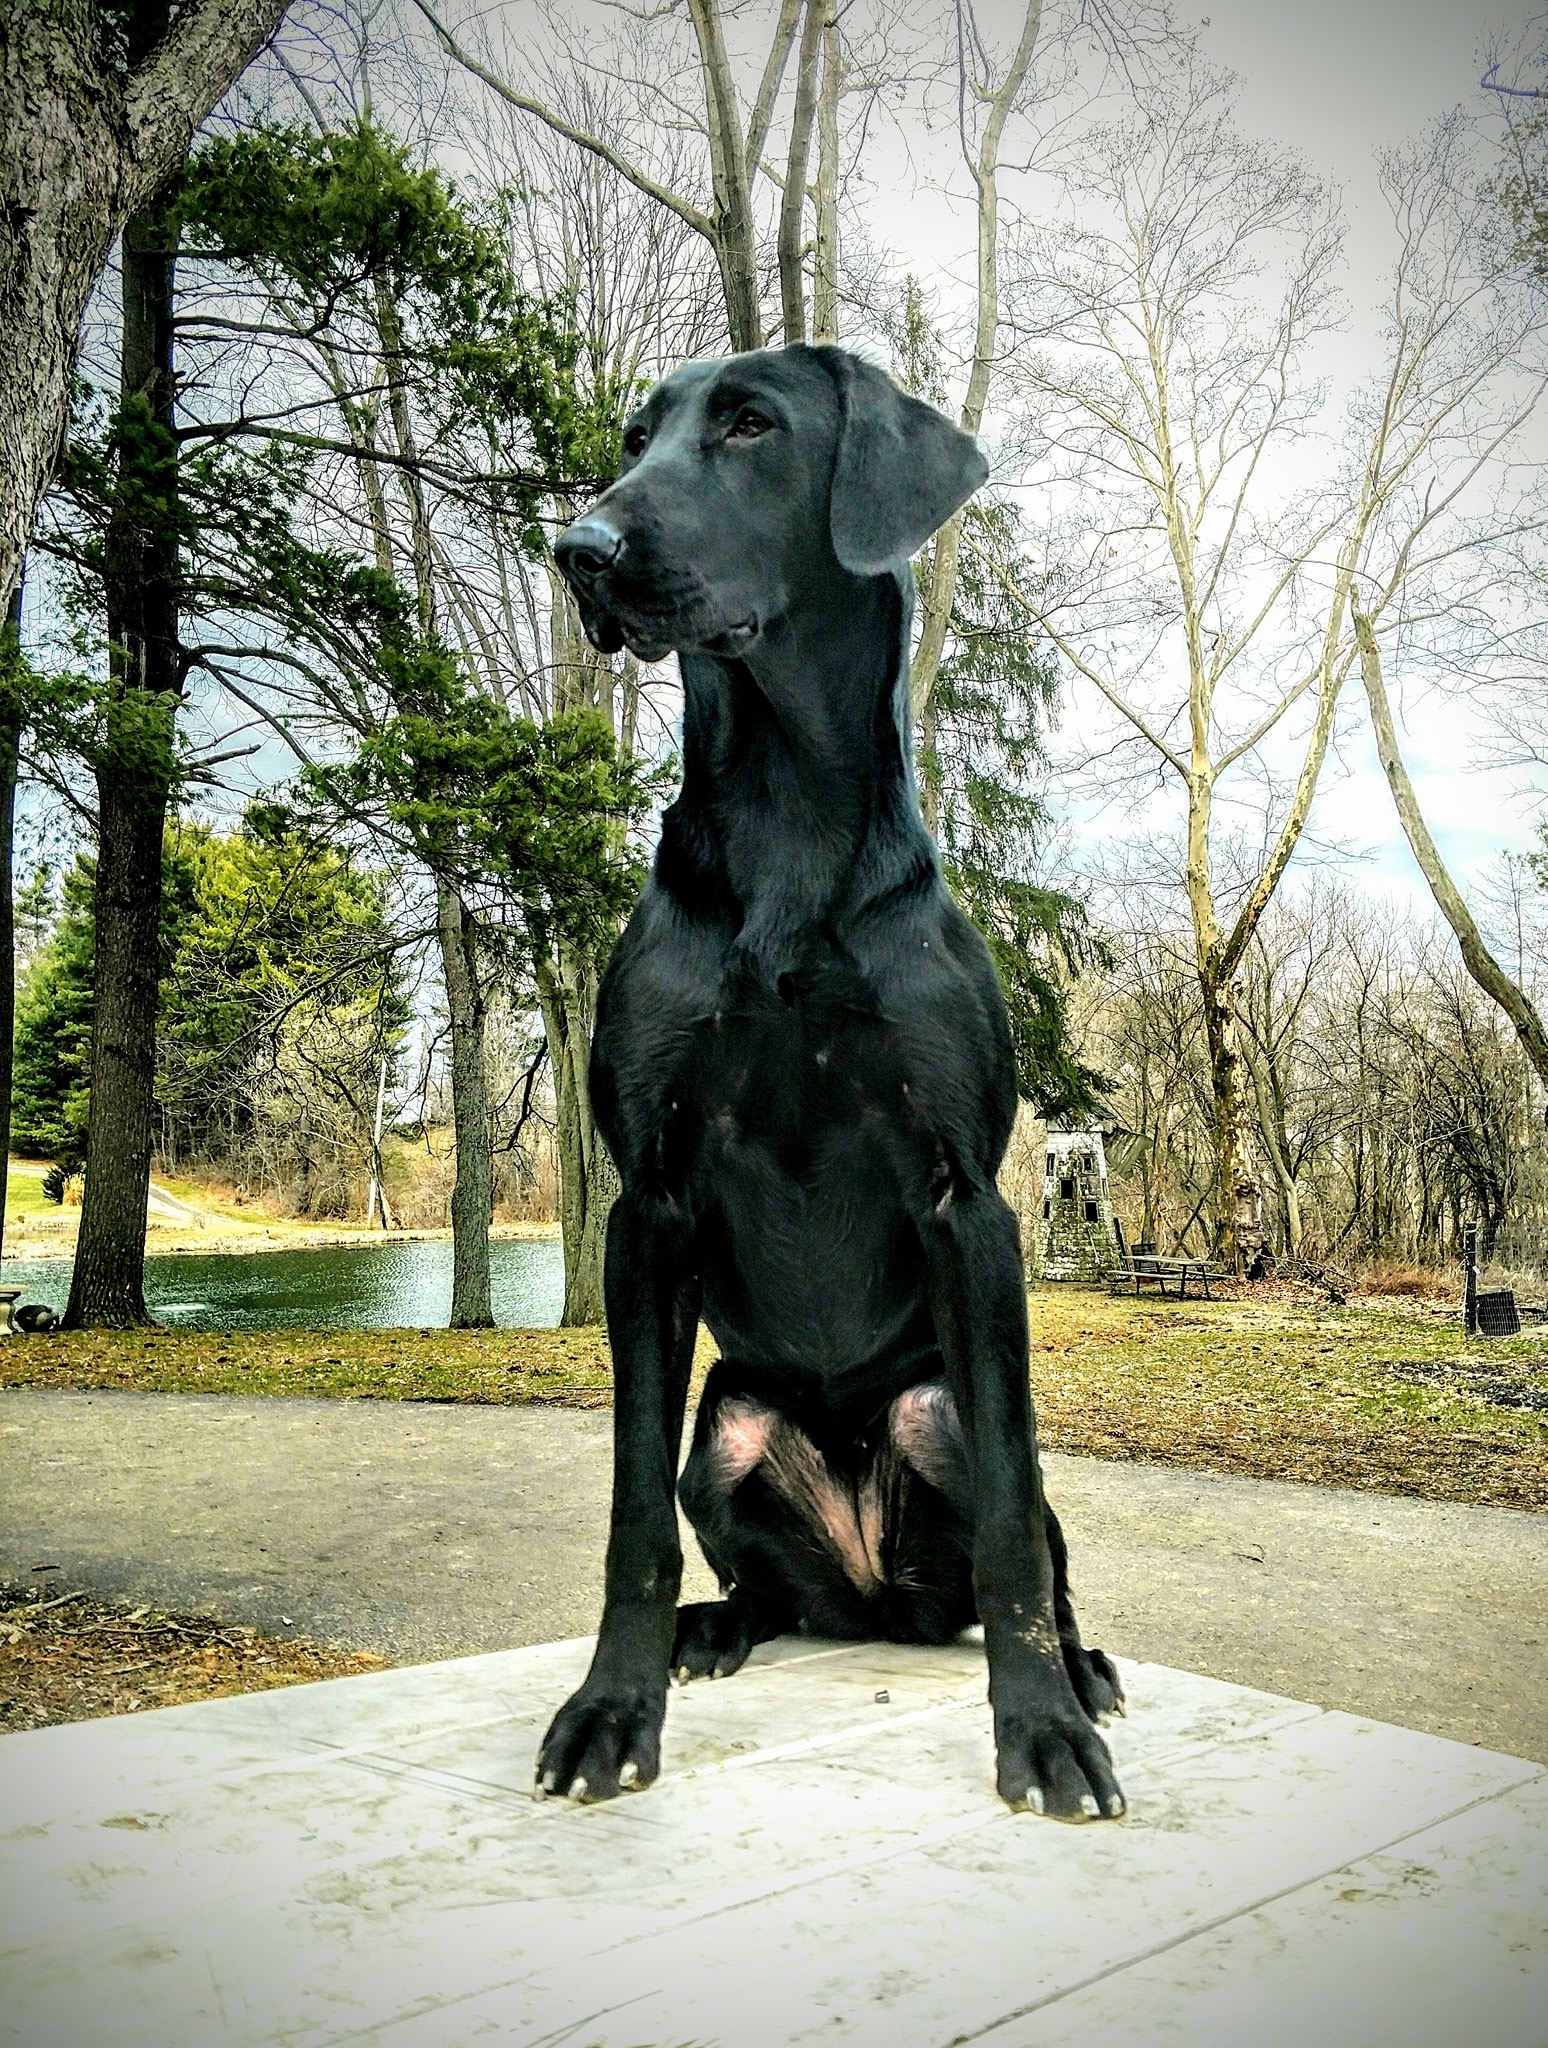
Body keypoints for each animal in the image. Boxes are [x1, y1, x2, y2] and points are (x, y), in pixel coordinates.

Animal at [544, 348, 1122, 1826]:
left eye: (751, 424)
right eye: (635, 436)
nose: (579, 549)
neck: (788, 813)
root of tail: (871, 1600)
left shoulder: (974, 1204)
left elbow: (1019, 1533)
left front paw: (1041, 1731)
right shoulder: (647, 1206)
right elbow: (628, 1513)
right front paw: (611, 1708)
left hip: (937, 1410)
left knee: (1018, 1552)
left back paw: (1082, 1667)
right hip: (730, 1430)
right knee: (764, 1582)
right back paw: (711, 1631)